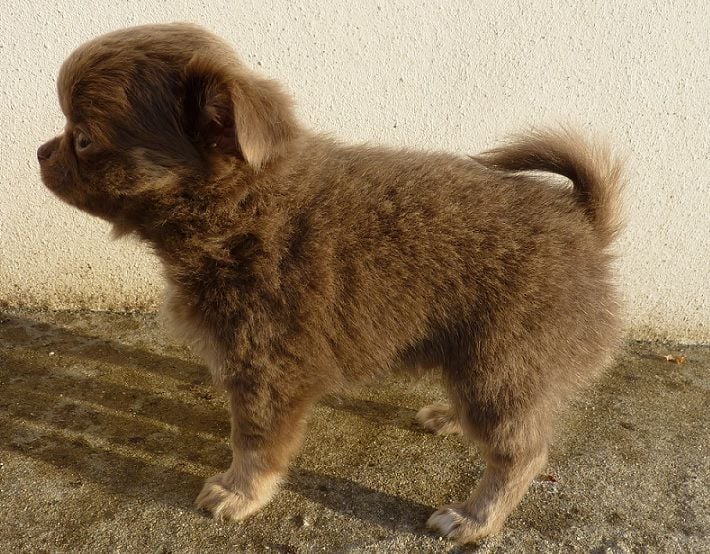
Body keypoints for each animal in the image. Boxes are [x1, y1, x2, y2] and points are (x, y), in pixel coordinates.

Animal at [38, 23, 622, 544]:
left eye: (83, 139)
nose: (41, 152)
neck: (244, 208)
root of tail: (584, 222)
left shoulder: (267, 370)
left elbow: (254, 443)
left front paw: (240, 493)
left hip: (502, 361)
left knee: (520, 454)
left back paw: (473, 519)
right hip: (483, 363)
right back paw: (448, 418)